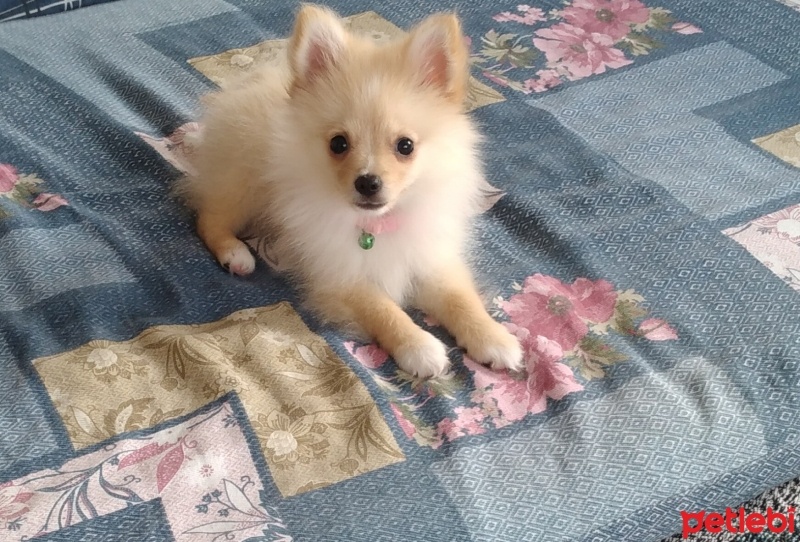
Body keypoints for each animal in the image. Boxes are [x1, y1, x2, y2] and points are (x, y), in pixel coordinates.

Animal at [177, 3, 520, 378]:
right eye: (338, 144)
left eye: (406, 146)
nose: (367, 182)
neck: (377, 225)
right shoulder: (339, 272)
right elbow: (381, 308)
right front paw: (418, 345)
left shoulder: (431, 256)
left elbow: (460, 299)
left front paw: (492, 336)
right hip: (245, 184)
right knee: (209, 217)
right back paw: (235, 253)